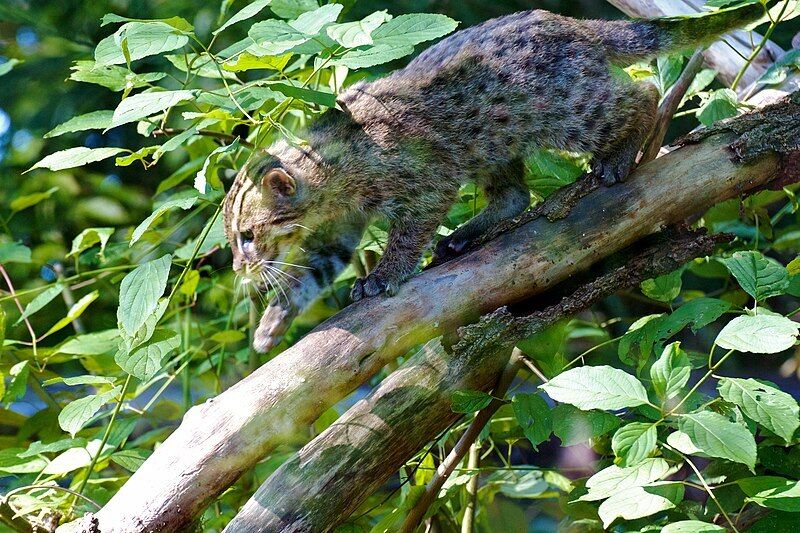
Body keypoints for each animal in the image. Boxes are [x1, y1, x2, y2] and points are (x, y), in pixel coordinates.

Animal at [223, 6, 764, 354]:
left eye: (248, 236)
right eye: (232, 240)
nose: (237, 269)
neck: (334, 175)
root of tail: (574, 24)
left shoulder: (427, 184)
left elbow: (405, 237)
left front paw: (384, 275)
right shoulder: (339, 230)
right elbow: (312, 271)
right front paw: (274, 321)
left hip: (565, 112)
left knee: (644, 90)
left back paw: (620, 153)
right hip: (492, 141)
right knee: (514, 194)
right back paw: (466, 235)